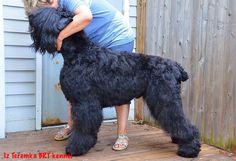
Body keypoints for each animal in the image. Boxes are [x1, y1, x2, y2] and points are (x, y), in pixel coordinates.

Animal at [28, 7, 201, 157]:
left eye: (51, 13)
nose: (31, 16)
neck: (79, 54)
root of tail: (176, 67)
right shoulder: (77, 100)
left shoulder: (85, 102)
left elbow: (83, 127)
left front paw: (76, 148)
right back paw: (179, 140)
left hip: (165, 100)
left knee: (182, 122)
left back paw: (189, 148)